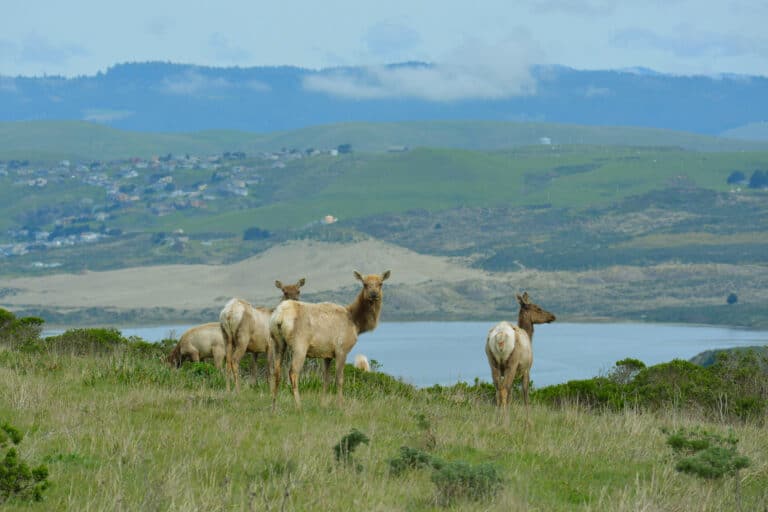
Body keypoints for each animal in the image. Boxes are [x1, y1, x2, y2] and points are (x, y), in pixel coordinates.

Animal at [269, 270, 390, 409]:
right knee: (293, 372)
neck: (356, 324)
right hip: (299, 344)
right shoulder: (341, 349)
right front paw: (340, 405)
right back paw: (299, 405)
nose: (373, 294)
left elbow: (326, 379)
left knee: (276, 371)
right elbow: (339, 379)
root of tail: (279, 317)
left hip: (277, 342)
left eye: (380, 283)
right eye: (364, 284)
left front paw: (323, 403)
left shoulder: (327, 353)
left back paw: (273, 406)